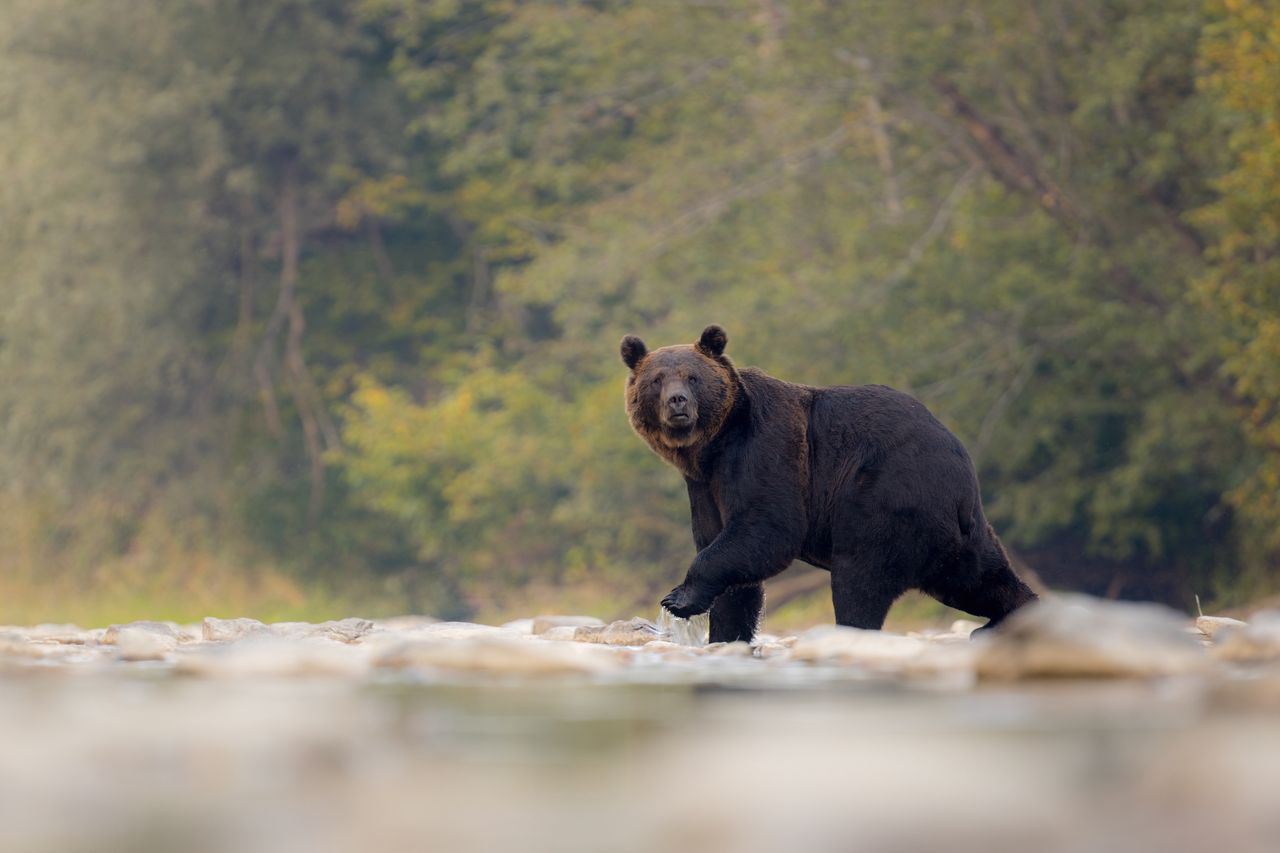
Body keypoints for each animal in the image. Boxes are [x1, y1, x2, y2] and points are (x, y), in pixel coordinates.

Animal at [622, 322, 1039, 640]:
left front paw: (678, 598)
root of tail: (959, 462)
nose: (677, 401)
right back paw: (1008, 617)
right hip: (953, 526)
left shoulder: (765, 450)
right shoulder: (705, 486)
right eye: (657, 379)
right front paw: (726, 634)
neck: (714, 445)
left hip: (884, 495)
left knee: (861, 577)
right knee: (976, 576)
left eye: (692, 377)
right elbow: (727, 559)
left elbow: (766, 528)